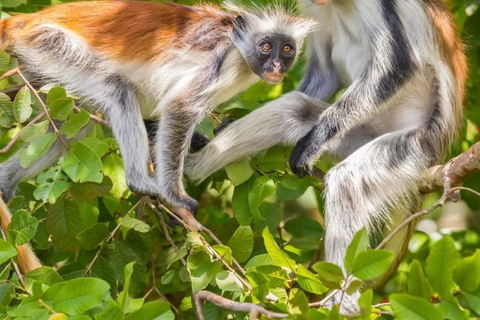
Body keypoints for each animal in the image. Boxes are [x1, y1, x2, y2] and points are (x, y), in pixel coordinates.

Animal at [186, 0, 466, 312]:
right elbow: (325, 74)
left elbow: (398, 66)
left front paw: (314, 140)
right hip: (358, 133)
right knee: (294, 109)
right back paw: (189, 167)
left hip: (416, 143)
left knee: (347, 179)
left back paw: (344, 305)